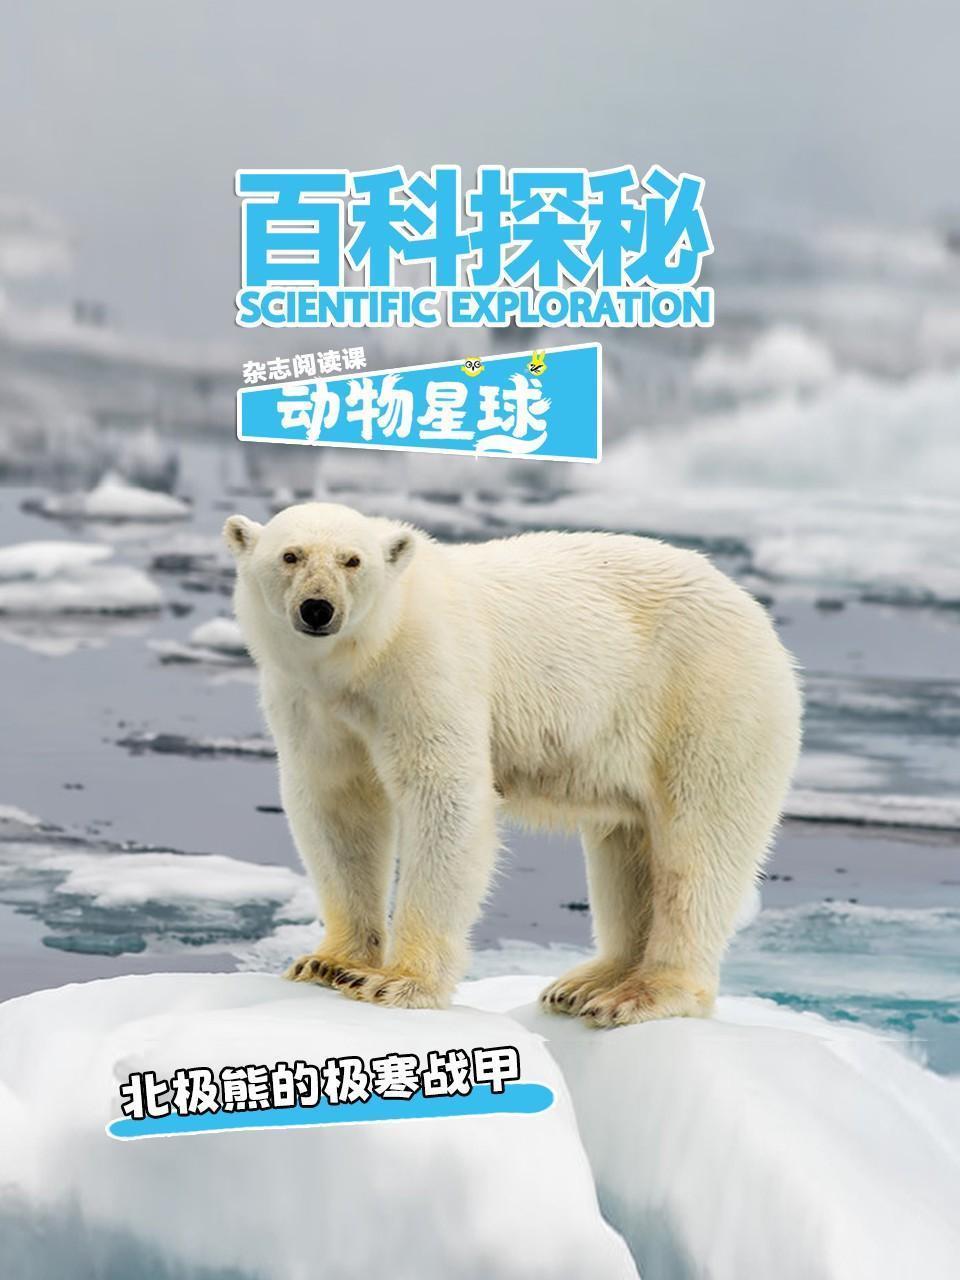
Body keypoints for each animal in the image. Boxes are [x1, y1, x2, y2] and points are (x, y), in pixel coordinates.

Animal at [224, 501, 802, 1027]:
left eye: (352, 560)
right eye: (290, 555)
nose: (318, 608)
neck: (363, 659)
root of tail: (757, 616)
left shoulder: (427, 671)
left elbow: (446, 797)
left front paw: (396, 982)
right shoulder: (310, 705)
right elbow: (337, 807)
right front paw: (328, 963)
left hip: (706, 698)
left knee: (698, 846)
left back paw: (642, 993)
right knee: (629, 845)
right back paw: (586, 984)